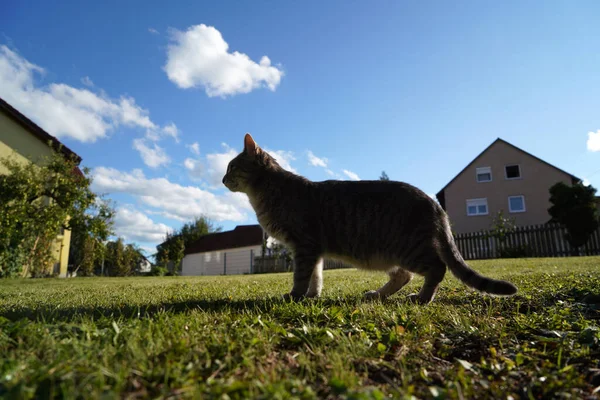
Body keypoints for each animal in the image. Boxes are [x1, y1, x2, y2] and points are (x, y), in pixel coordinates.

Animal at [223, 134, 516, 304]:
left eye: (231, 166)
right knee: (404, 276)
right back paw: (378, 294)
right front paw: (312, 296)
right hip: (391, 254)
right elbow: (316, 276)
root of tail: (434, 203)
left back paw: (422, 298)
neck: (268, 193)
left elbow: (301, 276)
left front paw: (295, 296)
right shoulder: (312, 250)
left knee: (436, 269)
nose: (222, 179)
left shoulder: (304, 246)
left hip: (408, 249)